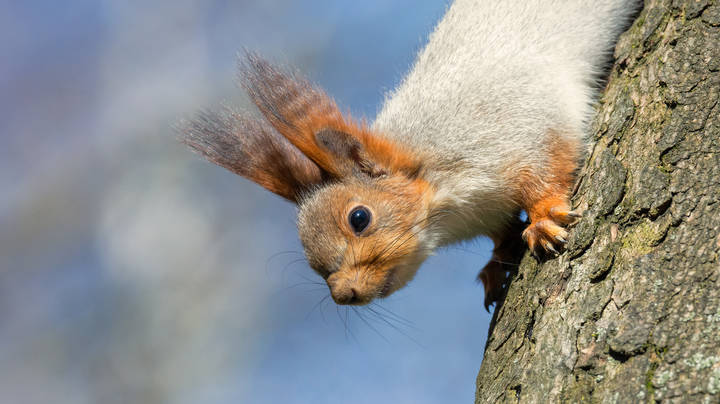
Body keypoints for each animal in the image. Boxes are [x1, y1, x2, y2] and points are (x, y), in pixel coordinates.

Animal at [183, 0, 639, 309]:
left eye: (359, 218)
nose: (344, 295)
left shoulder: (520, 124)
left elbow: (548, 167)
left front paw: (543, 219)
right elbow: (501, 233)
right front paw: (496, 263)